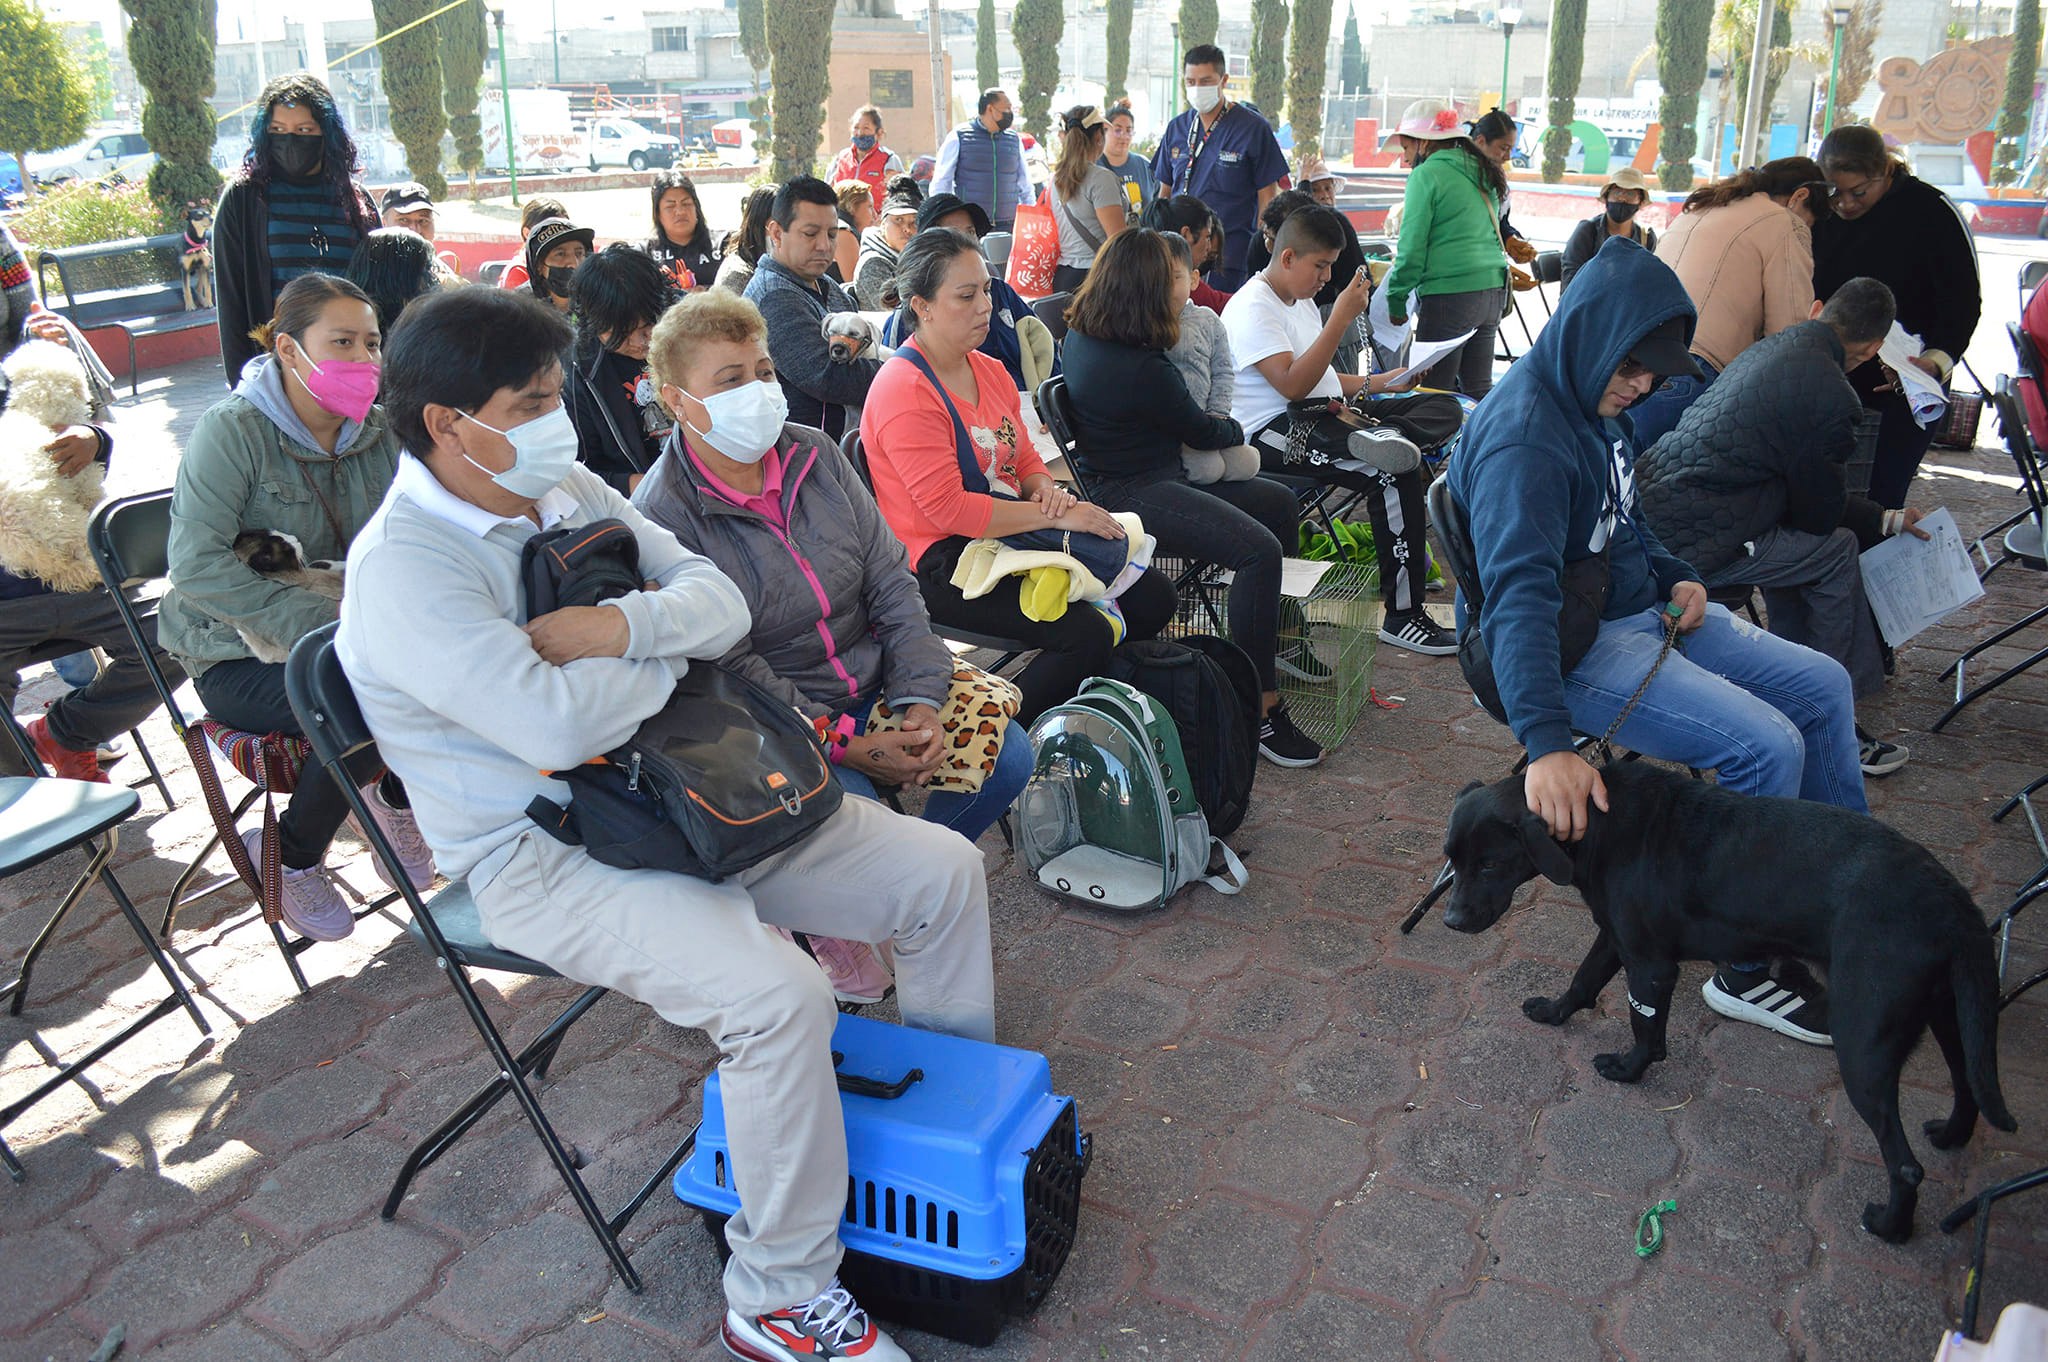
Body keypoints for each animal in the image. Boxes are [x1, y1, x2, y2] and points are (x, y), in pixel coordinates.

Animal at [0, 337, 105, 593]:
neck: (38, 411)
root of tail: (10, 527)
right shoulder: (83, 479)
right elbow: (93, 495)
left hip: (35, 552)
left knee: (65, 572)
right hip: (61, 520)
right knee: (85, 549)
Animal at [1441, 757, 2015, 1237]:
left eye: (1489, 864)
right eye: (1451, 858)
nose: (1448, 920)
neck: (1597, 823)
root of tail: (1952, 901)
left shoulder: (1650, 965)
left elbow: (1645, 1028)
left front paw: (1627, 1070)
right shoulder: (1616, 936)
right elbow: (1583, 980)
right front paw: (1554, 1012)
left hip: (1864, 1047)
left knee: (1906, 1165)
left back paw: (1889, 1226)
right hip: (1950, 1017)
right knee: (1968, 1085)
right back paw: (1951, 1136)